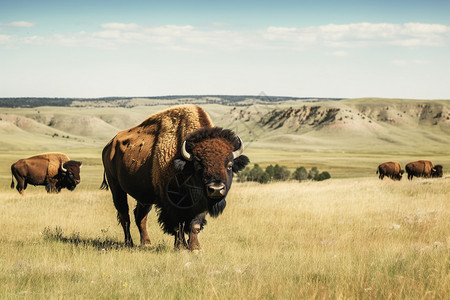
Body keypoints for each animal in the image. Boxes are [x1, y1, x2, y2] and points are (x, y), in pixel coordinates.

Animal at [100, 105, 250, 251]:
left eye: (229, 165)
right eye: (198, 165)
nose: (216, 189)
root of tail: (109, 145)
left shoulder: (200, 202)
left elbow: (194, 224)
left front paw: (195, 248)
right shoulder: (172, 202)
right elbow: (178, 225)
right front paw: (181, 247)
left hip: (144, 196)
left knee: (140, 216)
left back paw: (146, 243)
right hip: (116, 188)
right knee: (124, 216)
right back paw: (129, 243)